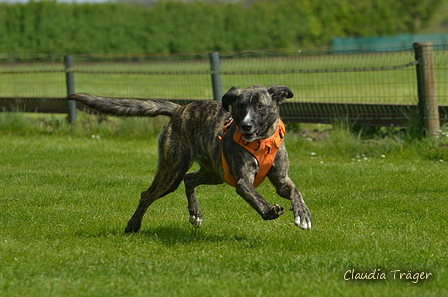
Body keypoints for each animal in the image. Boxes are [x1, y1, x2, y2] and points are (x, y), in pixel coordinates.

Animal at [69, 83, 312, 231]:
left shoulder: (282, 181)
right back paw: (133, 225)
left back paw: (195, 212)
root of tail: (179, 109)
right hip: (172, 171)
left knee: (190, 179)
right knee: (147, 195)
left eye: (260, 106)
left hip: (214, 173)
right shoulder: (243, 182)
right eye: (240, 107)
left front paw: (302, 213)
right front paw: (269, 210)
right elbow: (256, 197)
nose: (246, 126)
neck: (263, 142)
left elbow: (296, 192)